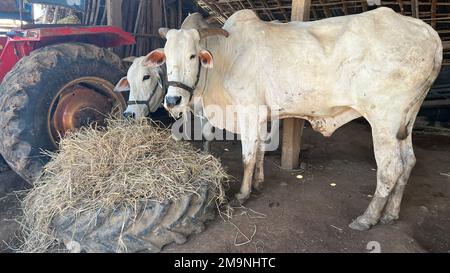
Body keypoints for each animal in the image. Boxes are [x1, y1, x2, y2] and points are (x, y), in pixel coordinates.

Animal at [145, 7, 442, 230]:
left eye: (192, 55)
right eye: (166, 56)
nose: (173, 100)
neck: (225, 56)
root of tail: (428, 32)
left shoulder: (249, 111)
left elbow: (248, 156)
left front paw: (242, 194)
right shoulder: (262, 114)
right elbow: (260, 153)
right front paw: (259, 184)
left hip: (383, 119)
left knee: (390, 168)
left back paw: (367, 218)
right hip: (405, 121)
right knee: (408, 162)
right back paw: (391, 213)